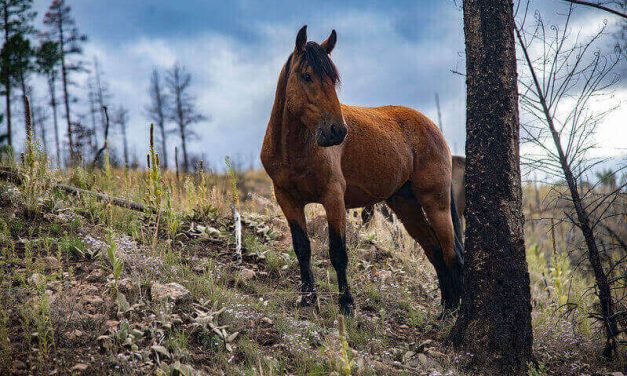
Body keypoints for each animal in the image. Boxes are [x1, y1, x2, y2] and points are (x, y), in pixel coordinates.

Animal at [262, 26, 466, 314]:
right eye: (307, 76)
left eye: (333, 79)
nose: (337, 131)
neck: (294, 151)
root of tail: (433, 128)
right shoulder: (287, 199)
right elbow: (302, 248)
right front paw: (308, 299)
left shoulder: (333, 198)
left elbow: (338, 252)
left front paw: (346, 304)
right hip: (405, 204)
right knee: (434, 251)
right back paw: (447, 309)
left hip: (435, 202)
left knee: (452, 253)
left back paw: (455, 312)